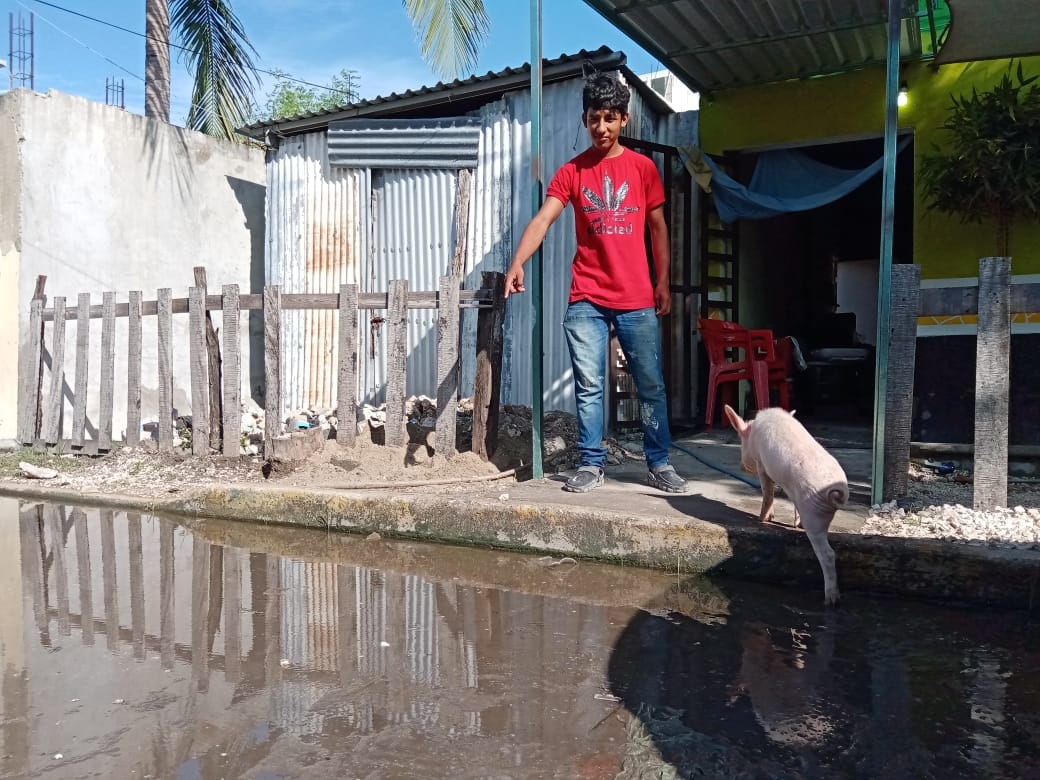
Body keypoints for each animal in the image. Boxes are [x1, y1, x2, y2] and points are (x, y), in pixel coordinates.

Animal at [728, 405, 848, 607]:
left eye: (741, 442)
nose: (741, 467)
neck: (753, 433)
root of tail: (837, 490)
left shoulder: (761, 463)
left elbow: (767, 492)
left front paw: (761, 519)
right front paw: (788, 522)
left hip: (813, 517)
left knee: (828, 554)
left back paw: (831, 600)